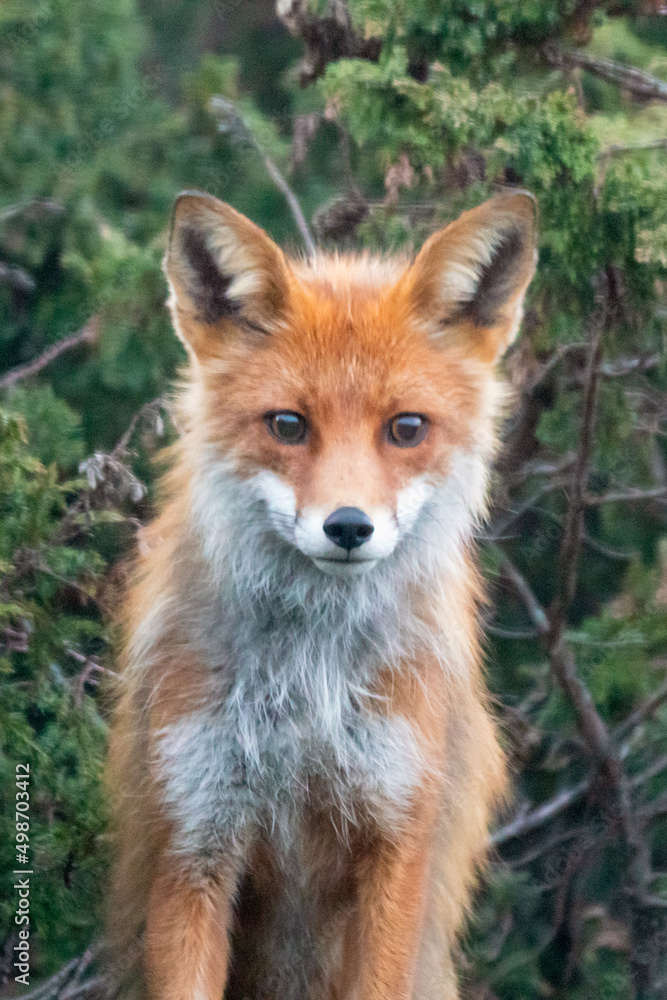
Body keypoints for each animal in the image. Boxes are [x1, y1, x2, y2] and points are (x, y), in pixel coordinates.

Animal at [107, 188, 537, 1000]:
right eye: (287, 424)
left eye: (406, 428)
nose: (347, 527)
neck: (307, 685)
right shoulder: (194, 841)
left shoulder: (397, 841)